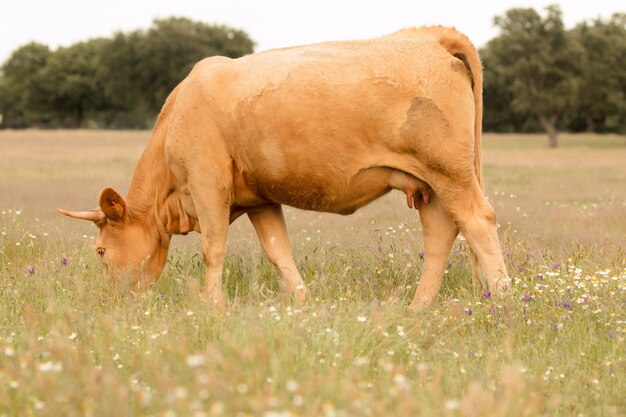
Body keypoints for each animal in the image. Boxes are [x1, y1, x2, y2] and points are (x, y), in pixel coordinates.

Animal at [57, 26, 508, 308]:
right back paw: (418, 308)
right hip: (427, 184)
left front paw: (212, 305)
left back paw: (505, 298)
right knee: (441, 235)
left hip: (449, 172)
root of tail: (429, 35)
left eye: (100, 250)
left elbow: (213, 248)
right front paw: (303, 302)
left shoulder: (207, 183)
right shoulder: (259, 198)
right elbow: (279, 252)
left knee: (478, 221)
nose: (109, 300)